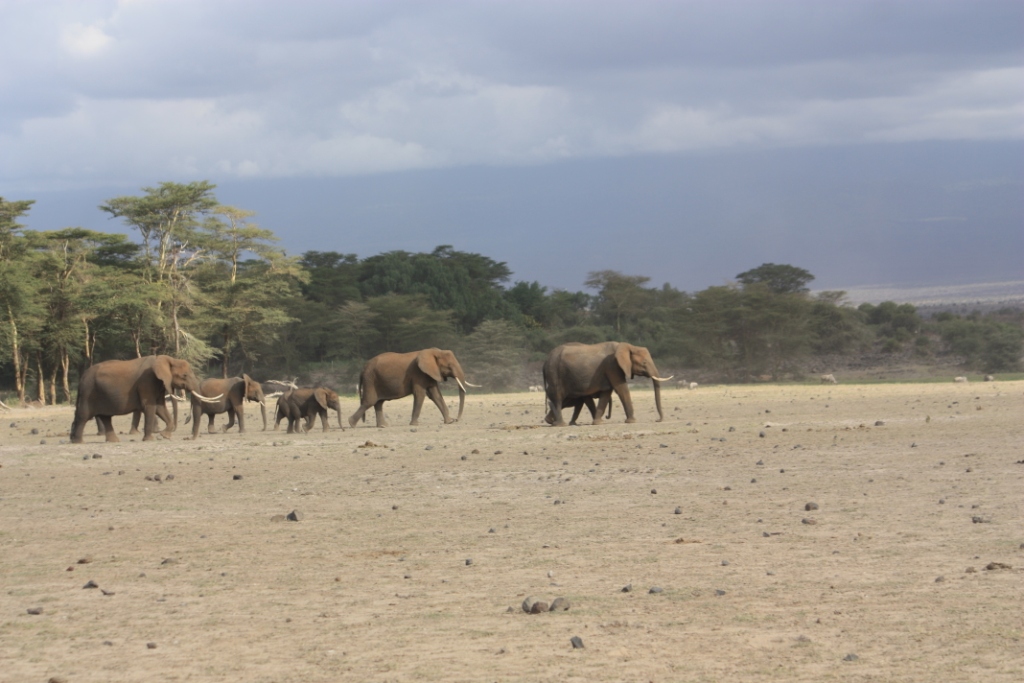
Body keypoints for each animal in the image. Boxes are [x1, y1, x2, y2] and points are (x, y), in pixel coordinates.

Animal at [70, 355, 221, 443]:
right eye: (184, 375)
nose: (187, 438)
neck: (166, 359)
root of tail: (82, 377)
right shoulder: (147, 381)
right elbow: (150, 406)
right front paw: (150, 439)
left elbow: (160, 407)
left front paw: (164, 436)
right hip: (89, 391)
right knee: (83, 416)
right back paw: (78, 442)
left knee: (105, 417)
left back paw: (114, 441)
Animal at [348, 348, 477, 428]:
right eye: (449, 366)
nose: (457, 419)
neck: (434, 351)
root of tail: (362, 369)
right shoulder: (418, 373)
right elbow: (420, 394)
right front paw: (414, 424)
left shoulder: (429, 373)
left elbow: (436, 395)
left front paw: (449, 422)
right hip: (370, 379)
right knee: (369, 401)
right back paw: (351, 424)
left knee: (378, 402)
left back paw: (384, 426)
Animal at [542, 342, 672, 426]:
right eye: (644, 362)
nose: (657, 420)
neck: (627, 346)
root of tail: (545, 361)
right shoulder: (612, 366)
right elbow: (621, 388)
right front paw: (632, 421)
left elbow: (606, 393)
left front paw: (598, 422)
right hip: (554, 372)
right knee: (558, 397)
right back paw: (560, 424)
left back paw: (550, 421)